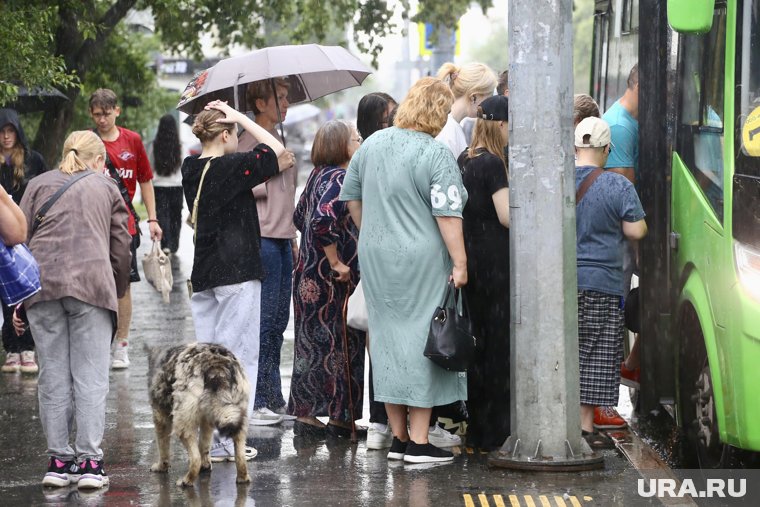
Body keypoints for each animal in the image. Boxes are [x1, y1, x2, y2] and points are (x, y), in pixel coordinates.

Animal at [148, 344, 252, 486]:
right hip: (237, 420)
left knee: (195, 459)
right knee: (240, 455)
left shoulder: (160, 416)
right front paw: (206, 465)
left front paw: (161, 467)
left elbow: (163, 449)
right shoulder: (206, 421)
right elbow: (204, 445)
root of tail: (217, 365)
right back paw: (242, 477)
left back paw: (186, 480)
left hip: (182, 425)